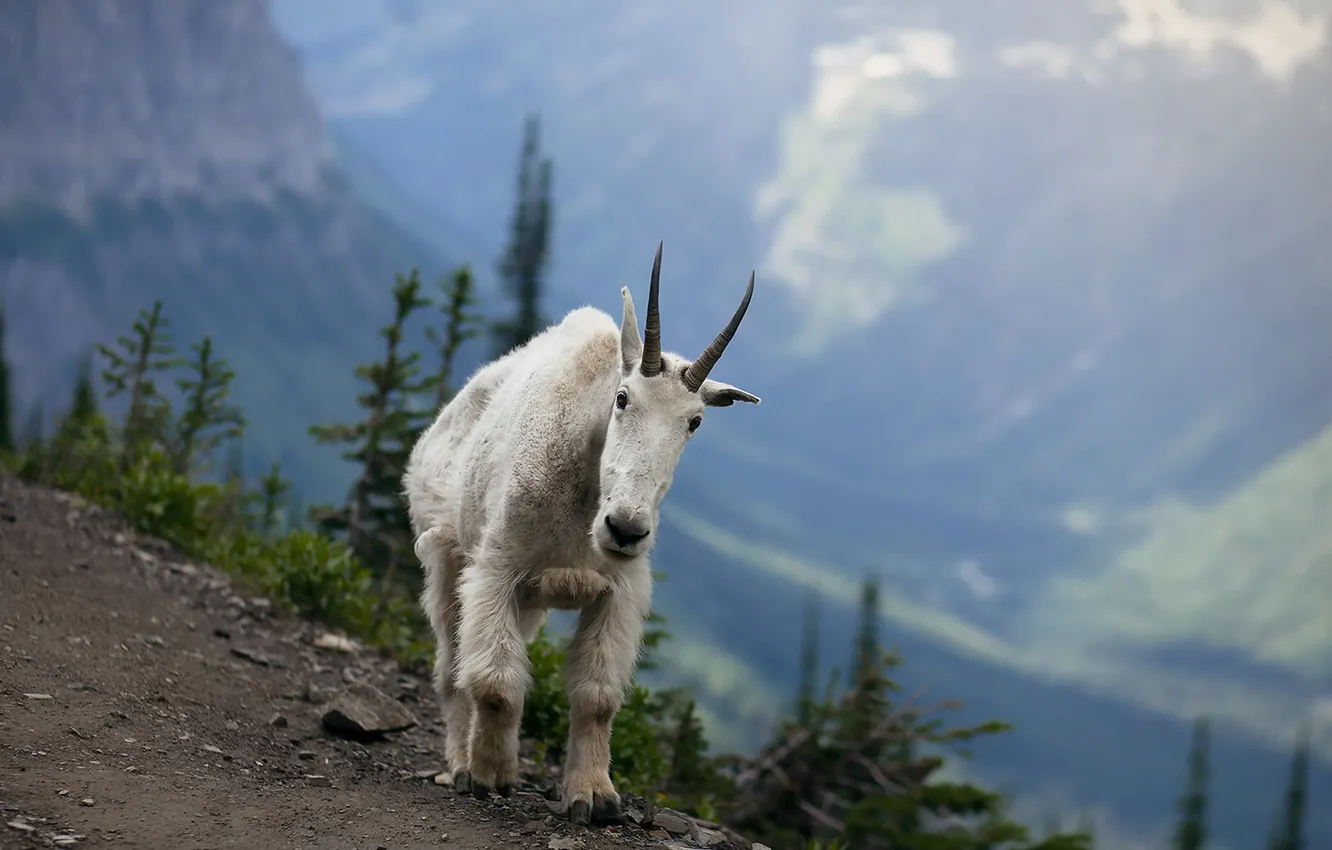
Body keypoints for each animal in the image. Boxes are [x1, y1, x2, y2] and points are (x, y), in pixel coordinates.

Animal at [402, 242, 760, 825]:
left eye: (695, 422)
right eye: (623, 398)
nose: (626, 529)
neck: (586, 507)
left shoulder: (618, 591)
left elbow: (597, 698)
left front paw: (593, 797)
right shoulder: (495, 570)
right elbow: (497, 683)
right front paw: (492, 775)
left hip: (528, 603)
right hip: (445, 557)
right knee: (451, 667)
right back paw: (459, 764)